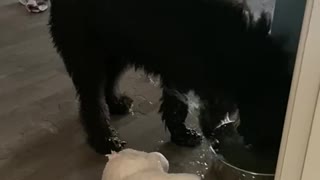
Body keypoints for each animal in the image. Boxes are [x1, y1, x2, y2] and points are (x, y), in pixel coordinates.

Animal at [48, 0, 292, 154]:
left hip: (117, 49)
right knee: (92, 100)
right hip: (87, 54)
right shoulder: (181, 73)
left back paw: (116, 104)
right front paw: (186, 133)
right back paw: (104, 139)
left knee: (109, 81)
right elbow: (179, 107)